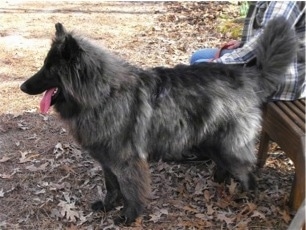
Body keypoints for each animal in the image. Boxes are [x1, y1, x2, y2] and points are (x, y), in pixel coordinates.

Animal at [20, 17, 296, 225]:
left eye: (49, 69)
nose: (22, 87)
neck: (103, 93)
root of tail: (249, 75)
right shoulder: (107, 160)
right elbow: (112, 186)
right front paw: (109, 206)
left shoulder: (127, 161)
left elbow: (130, 191)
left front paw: (129, 216)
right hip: (213, 141)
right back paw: (221, 181)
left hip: (229, 145)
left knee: (249, 172)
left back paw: (247, 199)